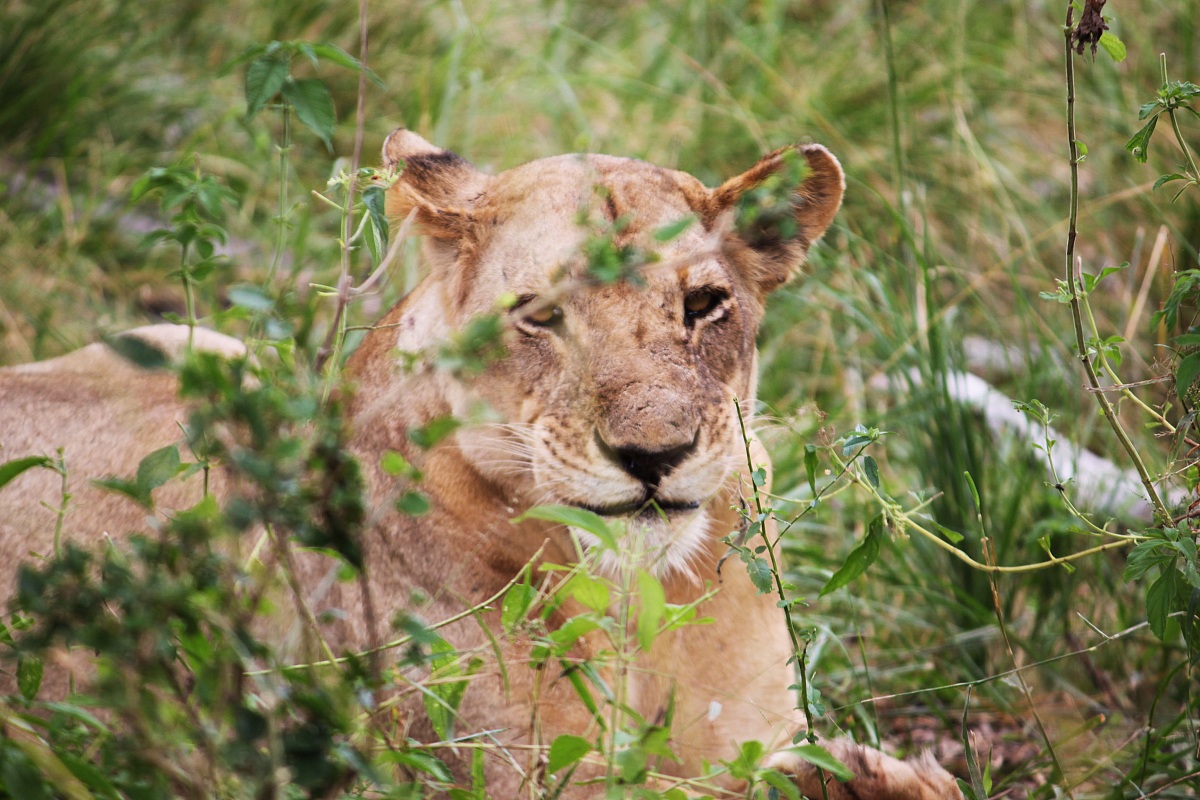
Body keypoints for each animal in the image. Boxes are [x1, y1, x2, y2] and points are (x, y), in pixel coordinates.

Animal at [0, 129, 962, 799]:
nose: (654, 454)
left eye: (703, 305)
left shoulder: (761, 719)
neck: (647, 607)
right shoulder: (509, 773)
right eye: (540, 315)